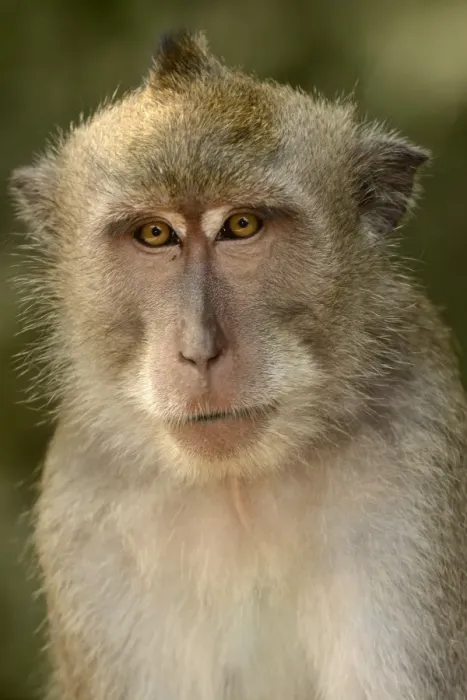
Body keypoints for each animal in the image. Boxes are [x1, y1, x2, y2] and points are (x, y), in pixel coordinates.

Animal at [9, 29, 467, 700]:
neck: (239, 487)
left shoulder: (416, 458)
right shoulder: (88, 502)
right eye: (155, 235)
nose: (199, 349)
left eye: (241, 225)